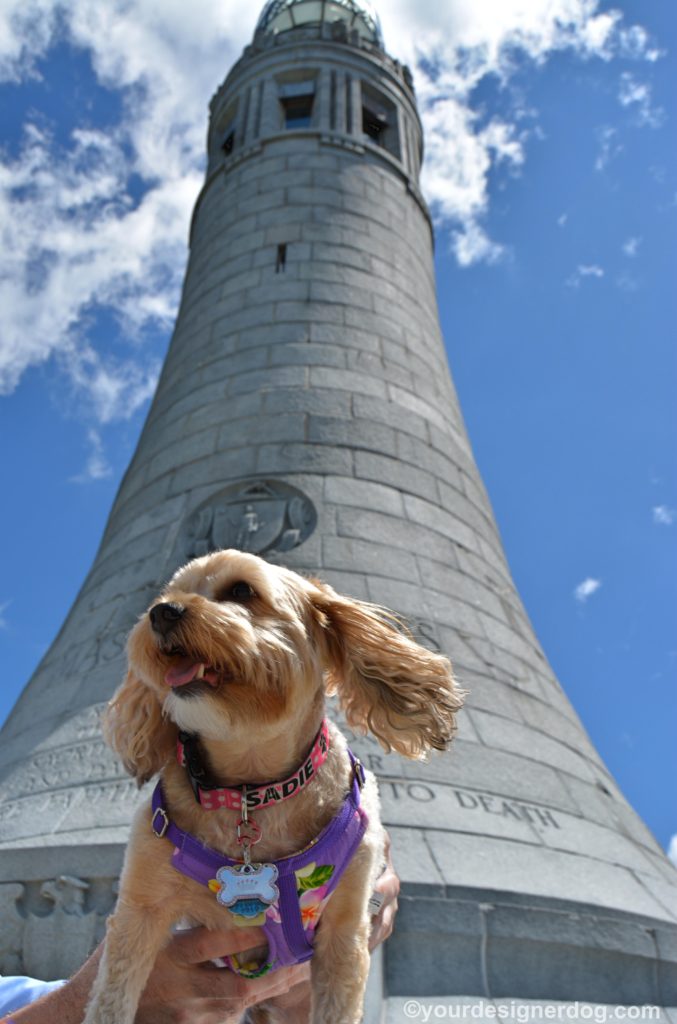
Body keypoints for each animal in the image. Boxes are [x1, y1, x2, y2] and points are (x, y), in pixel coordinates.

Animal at [84, 552, 462, 1024]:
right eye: (168, 594)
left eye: (242, 590)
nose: (162, 613)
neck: (251, 788)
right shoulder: (140, 908)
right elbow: (110, 999)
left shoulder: (345, 930)